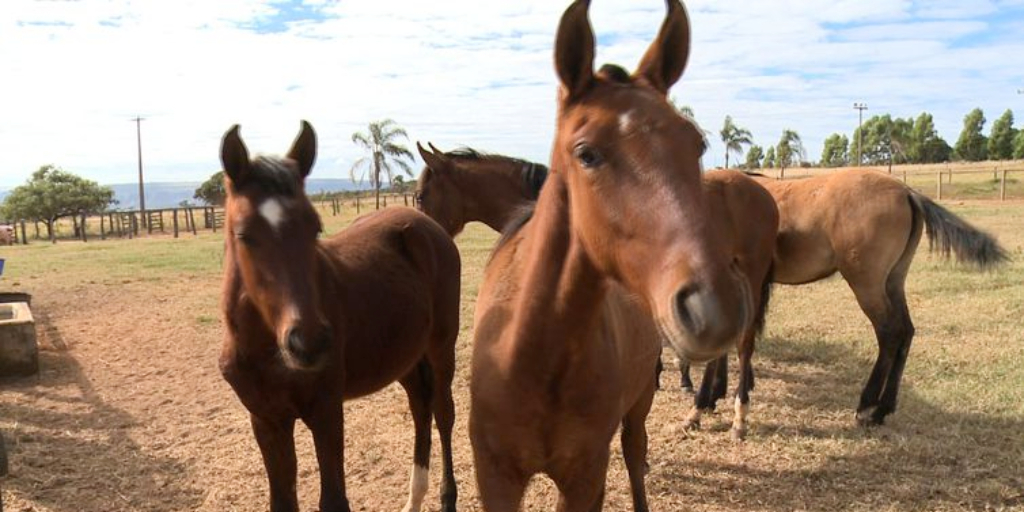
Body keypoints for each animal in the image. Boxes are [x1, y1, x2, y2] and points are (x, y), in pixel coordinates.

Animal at [219, 120, 460, 512]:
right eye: (243, 234)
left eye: (314, 227)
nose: (309, 342)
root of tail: (426, 223)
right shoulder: (266, 419)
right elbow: (282, 501)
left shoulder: (327, 411)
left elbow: (333, 499)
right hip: (405, 357)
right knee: (420, 408)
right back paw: (413, 499)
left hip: (441, 345)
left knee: (443, 412)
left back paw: (445, 497)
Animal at [413, 145, 774, 440]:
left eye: (418, 195)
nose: (423, 230)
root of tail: (761, 192)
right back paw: (701, 408)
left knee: (743, 345)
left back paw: (737, 417)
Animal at [468, 2, 753, 509]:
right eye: (587, 154)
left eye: (697, 144)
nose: (713, 308)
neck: (532, 354)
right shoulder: (495, 476)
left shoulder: (583, 474)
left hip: (637, 407)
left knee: (635, 456)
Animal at [671, 169, 1007, 425]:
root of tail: (906, 192)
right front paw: (721, 392)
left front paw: (710, 397)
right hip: (893, 281)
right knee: (906, 332)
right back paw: (885, 407)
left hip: (867, 284)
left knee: (890, 333)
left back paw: (868, 406)